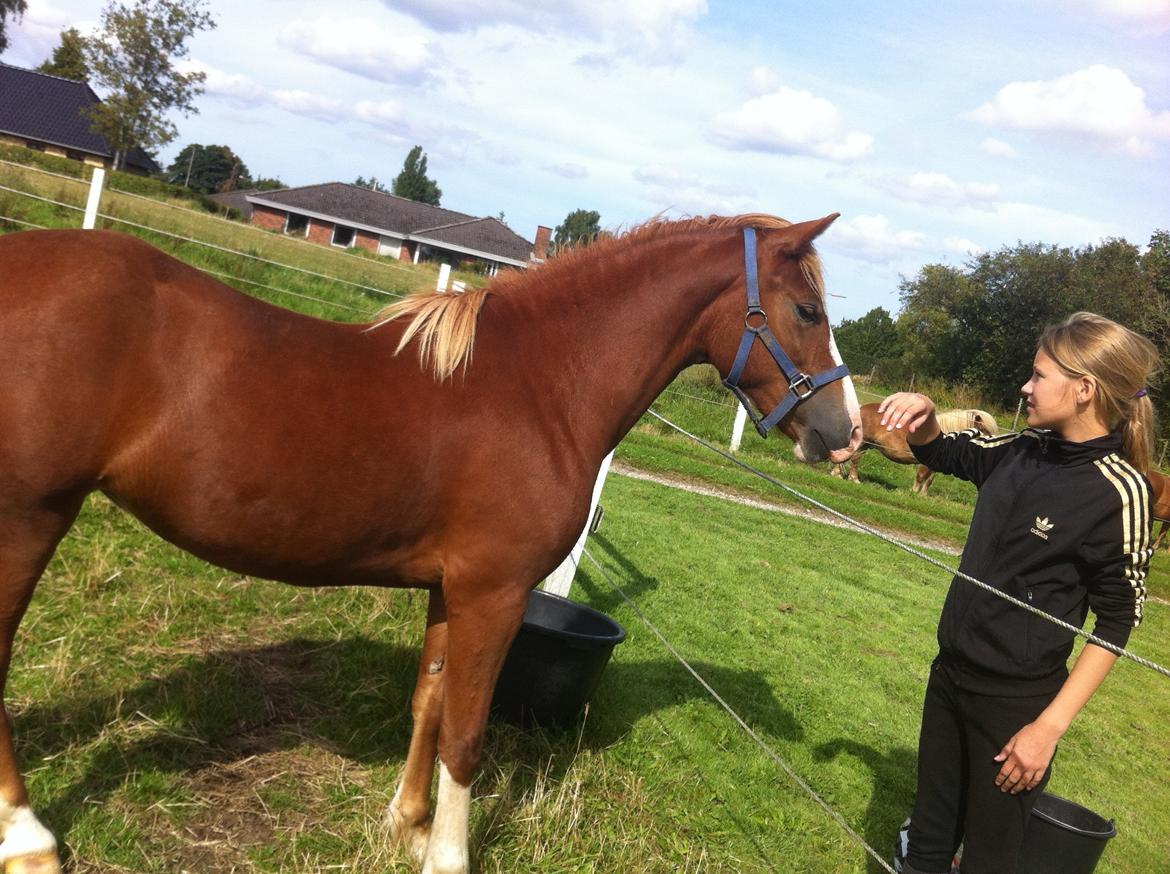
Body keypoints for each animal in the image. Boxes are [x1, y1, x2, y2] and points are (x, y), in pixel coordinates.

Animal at [0, 217, 861, 874]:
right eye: (806, 310)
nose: (844, 433)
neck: (540, 386)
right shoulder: (494, 591)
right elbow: (468, 733)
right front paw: (448, 856)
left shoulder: (453, 589)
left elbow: (431, 704)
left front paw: (405, 826)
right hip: (29, 518)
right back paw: (29, 839)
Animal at [833, 402, 996, 491]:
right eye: (985, 430)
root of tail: (861, 408)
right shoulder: (925, 464)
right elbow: (921, 476)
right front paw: (913, 492)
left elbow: (929, 481)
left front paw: (922, 497)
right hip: (863, 443)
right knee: (852, 458)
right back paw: (845, 477)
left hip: (865, 445)